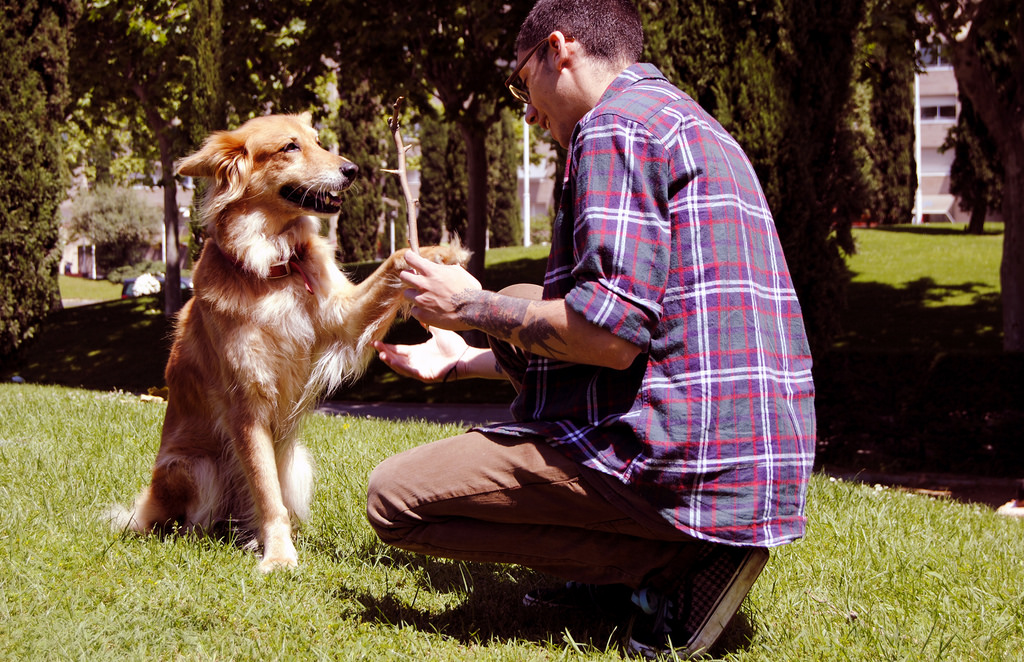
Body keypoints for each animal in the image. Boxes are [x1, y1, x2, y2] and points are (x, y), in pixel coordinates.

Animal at [108, 112, 468, 569]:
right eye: (290, 147)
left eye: (318, 141)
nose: (352, 170)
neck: (273, 265)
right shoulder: (247, 405)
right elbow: (266, 493)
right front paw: (278, 555)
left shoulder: (344, 319)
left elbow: (396, 260)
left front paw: (438, 255)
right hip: (192, 468)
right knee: (189, 524)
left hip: (297, 462)